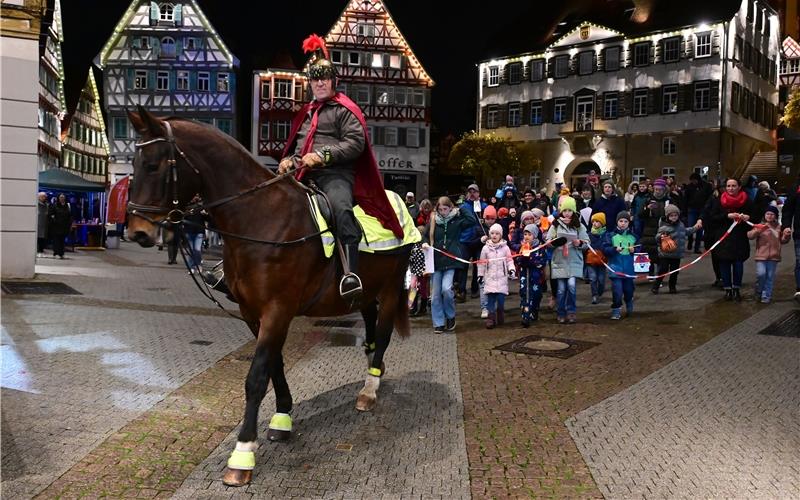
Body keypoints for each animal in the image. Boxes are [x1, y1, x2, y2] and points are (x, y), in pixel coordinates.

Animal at [126, 107, 412, 486]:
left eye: (154, 165)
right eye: (133, 163)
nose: (137, 232)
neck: (260, 217)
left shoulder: (278, 310)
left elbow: (256, 377)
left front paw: (243, 454)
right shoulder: (253, 312)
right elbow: (274, 366)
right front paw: (282, 419)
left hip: (392, 288)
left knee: (382, 335)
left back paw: (369, 390)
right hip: (364, 294)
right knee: (369, 333)